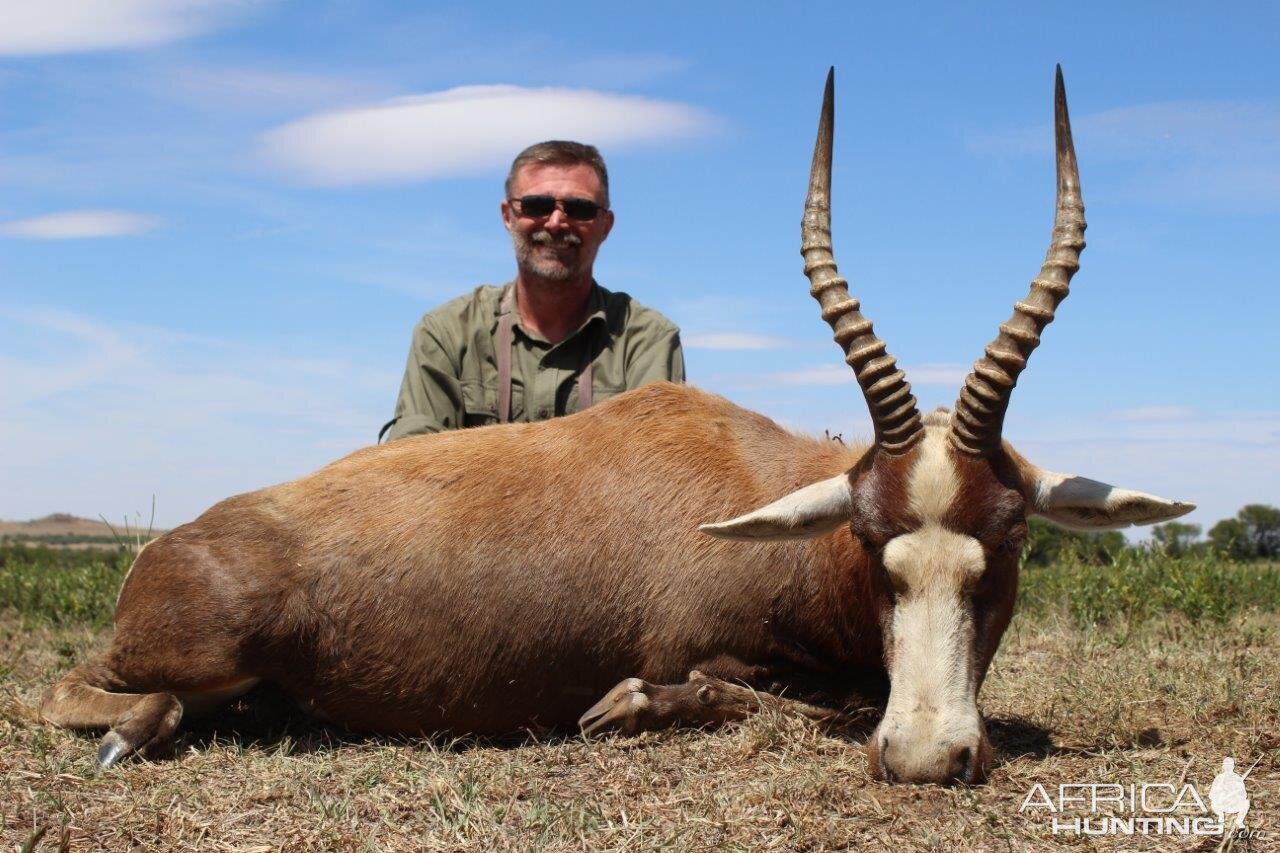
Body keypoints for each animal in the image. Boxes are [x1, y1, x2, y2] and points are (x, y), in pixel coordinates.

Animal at [45, 68, 1192, 783]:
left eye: (1009, 537)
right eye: (870, 542)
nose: (924, 758)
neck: (758, 481)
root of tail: (163, 549)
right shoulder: (711, 653)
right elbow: (776, 698)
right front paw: (624, 707)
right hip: (187, 656)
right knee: (86, 693)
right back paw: (132, 733)